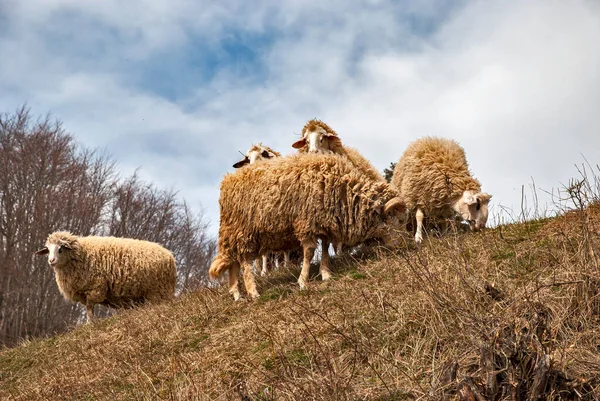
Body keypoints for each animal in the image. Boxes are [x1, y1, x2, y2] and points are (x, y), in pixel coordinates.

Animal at [34, 231, 176, 322]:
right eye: (48, 250)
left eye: (60, 249)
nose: (51, 260)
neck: (80, 255)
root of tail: (170, 256)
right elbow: (89, 308)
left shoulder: (96, 288)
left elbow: (90, 308)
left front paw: (89, 324)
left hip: (158, 291)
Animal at [209, 152, 406, 298]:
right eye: (400, 220)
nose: (402, 246)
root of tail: (227, 180)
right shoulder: (306, 223)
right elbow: (309, 252)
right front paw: (303, 281)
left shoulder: (324, 224)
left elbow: (325, 249)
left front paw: (326, 274)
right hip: (242, 231)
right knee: (244, 262)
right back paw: (253, 292)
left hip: (238, 234)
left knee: (234, 262)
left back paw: (237, 294)